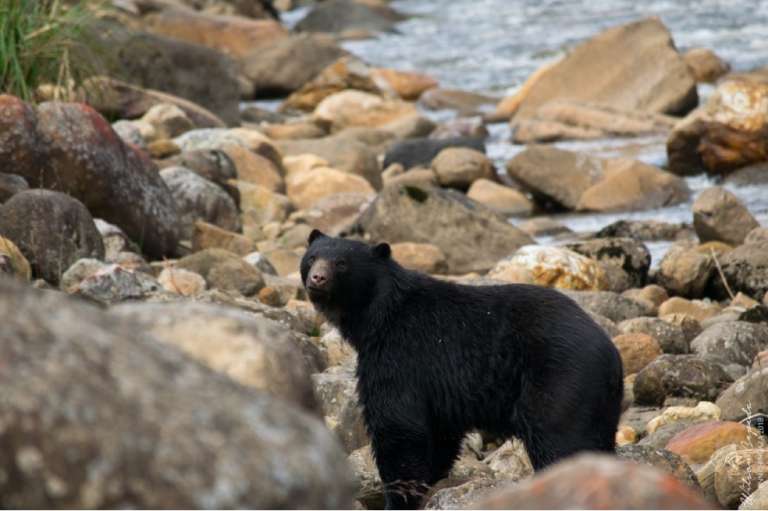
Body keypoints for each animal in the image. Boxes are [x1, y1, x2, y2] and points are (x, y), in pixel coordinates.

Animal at [301, 230, 624, 510]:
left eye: (342, 263)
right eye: (312, 257)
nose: (317, 277)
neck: (377, 316)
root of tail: (610, 353)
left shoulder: (400, 356)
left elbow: (398, 426)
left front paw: (397, 500)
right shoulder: (437, 388)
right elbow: (438, 433)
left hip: (558, 382)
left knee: (561, 440)